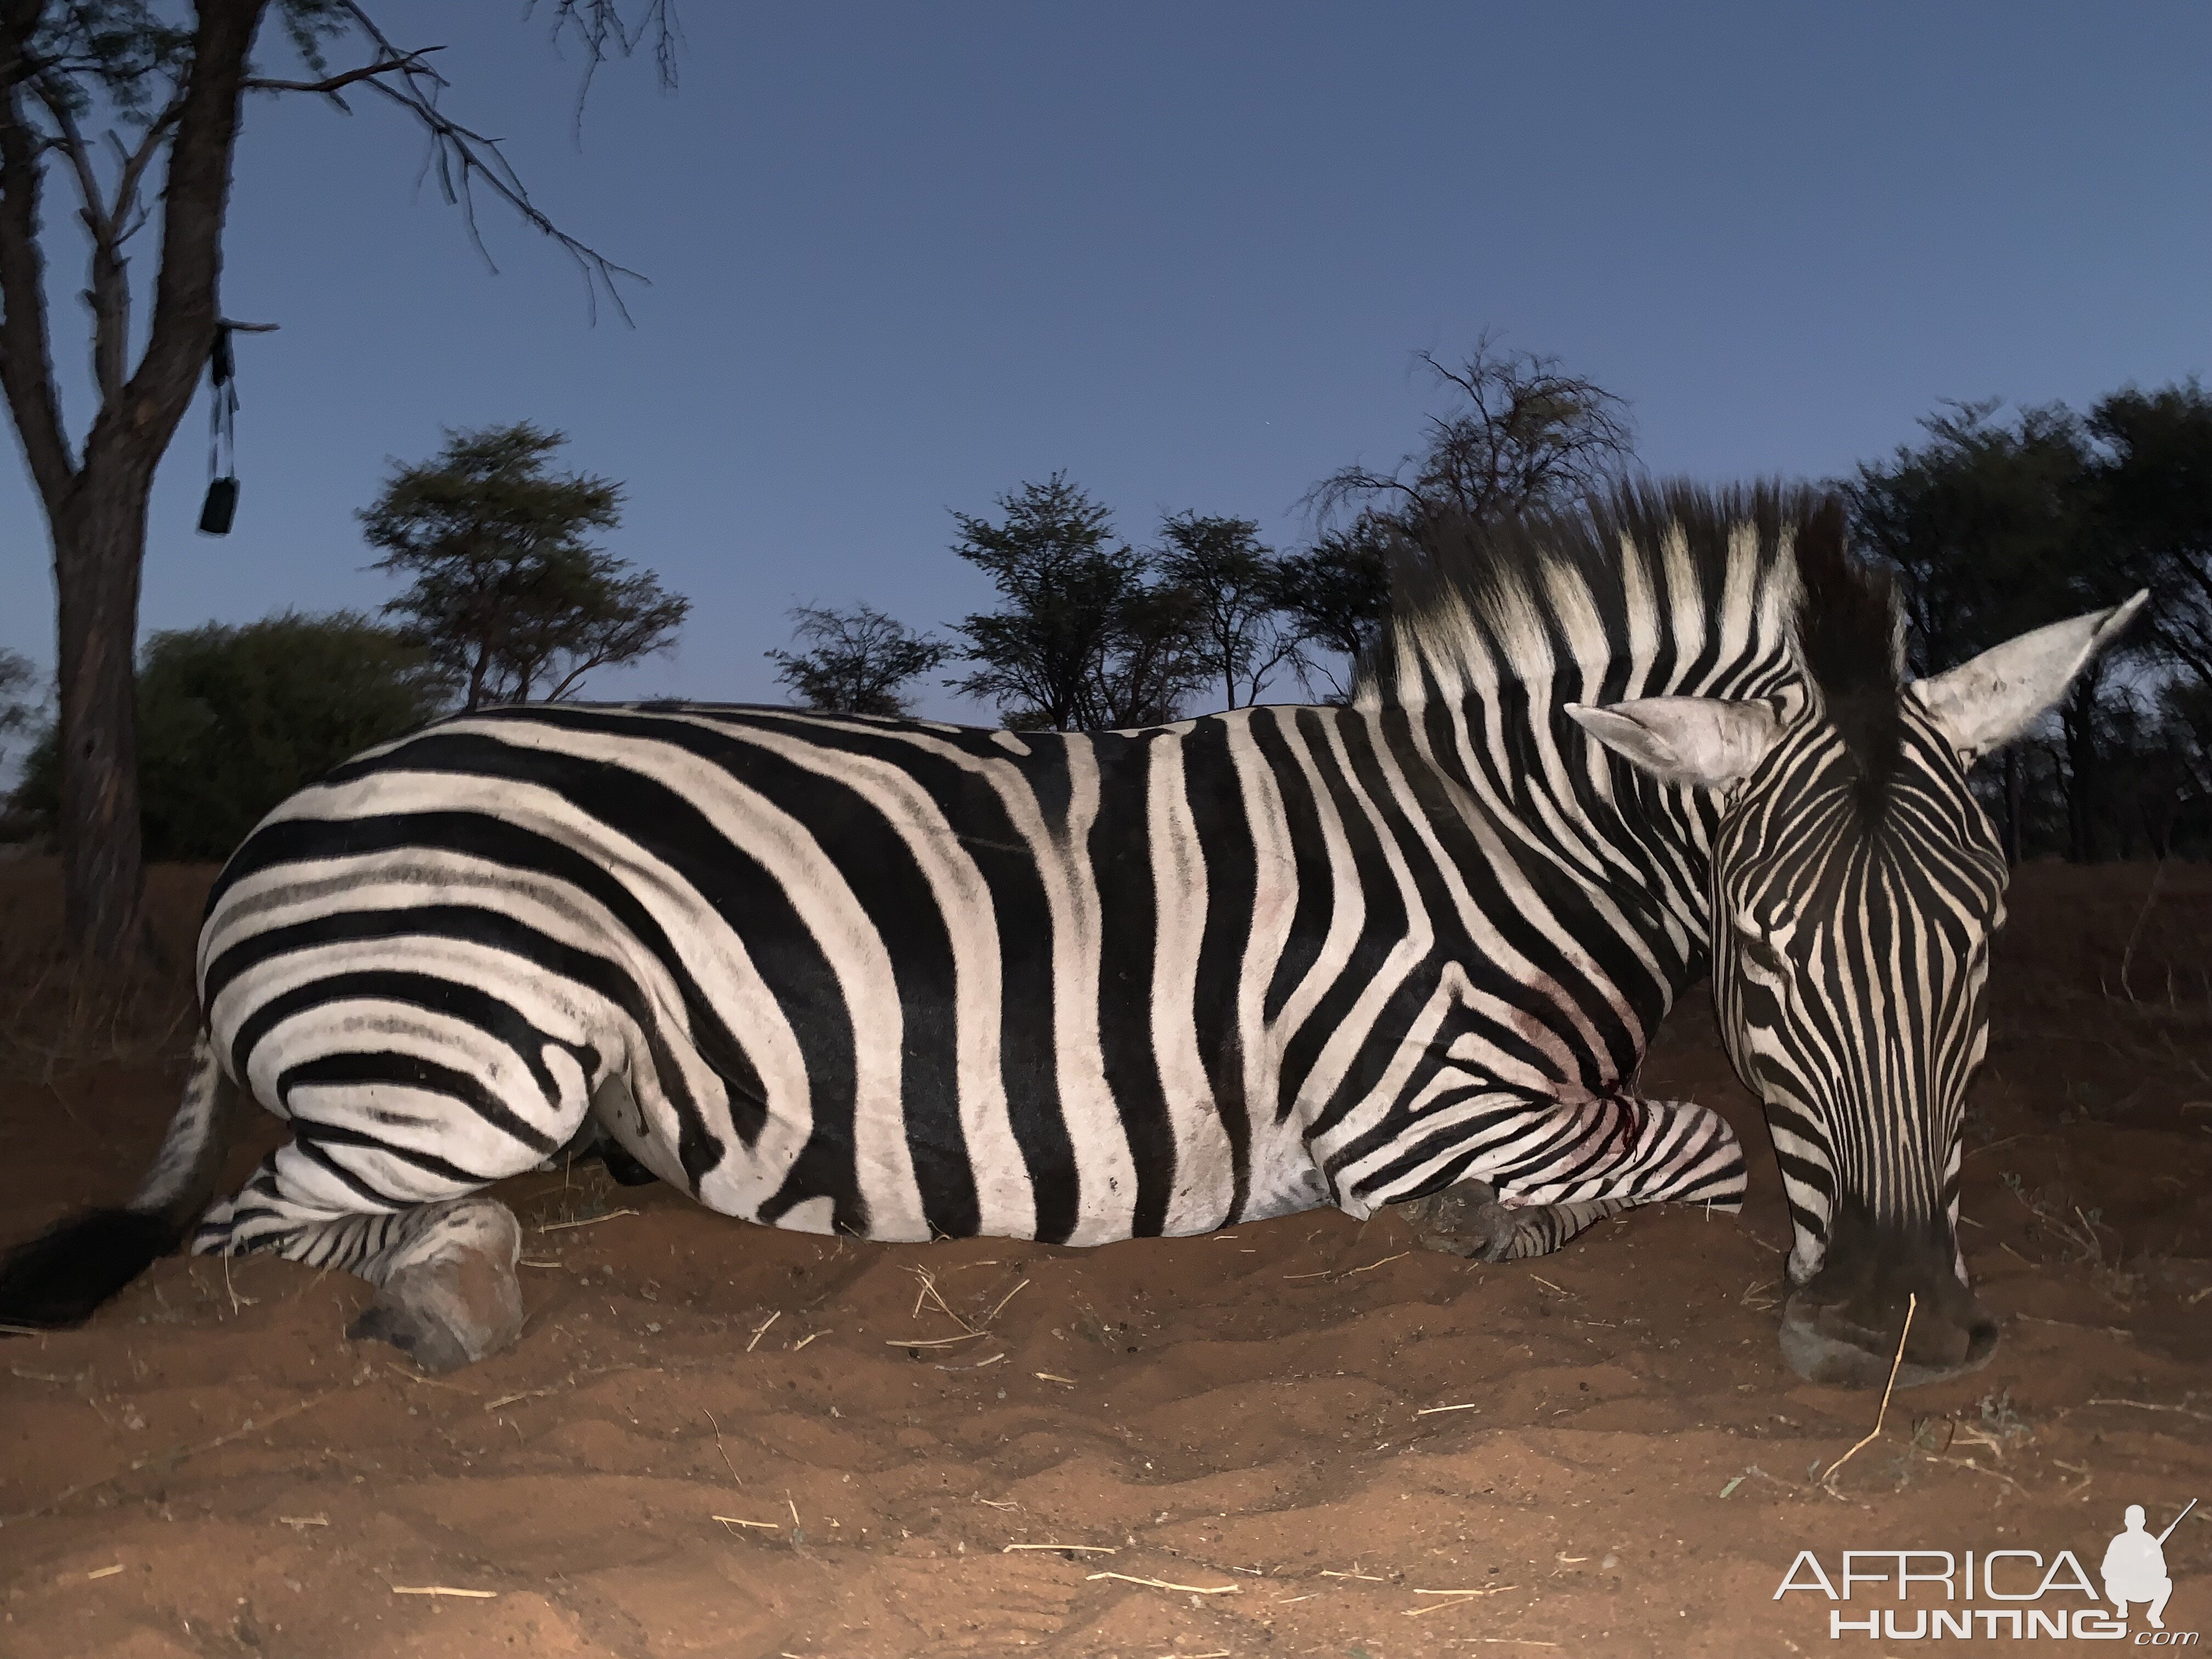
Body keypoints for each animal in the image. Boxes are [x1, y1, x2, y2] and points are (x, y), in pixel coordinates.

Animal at [0, 484, 2141, 1389]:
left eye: (1986, 943)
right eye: (1761, 955)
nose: (1892, 1326)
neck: (1502, 846)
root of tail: (293, 811)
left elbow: (1674, 1140)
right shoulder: (1418, 1102)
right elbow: (1702, 1142)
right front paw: (1504, 1229)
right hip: (469, 1052)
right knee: (265, 1221)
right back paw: (448, 1286)